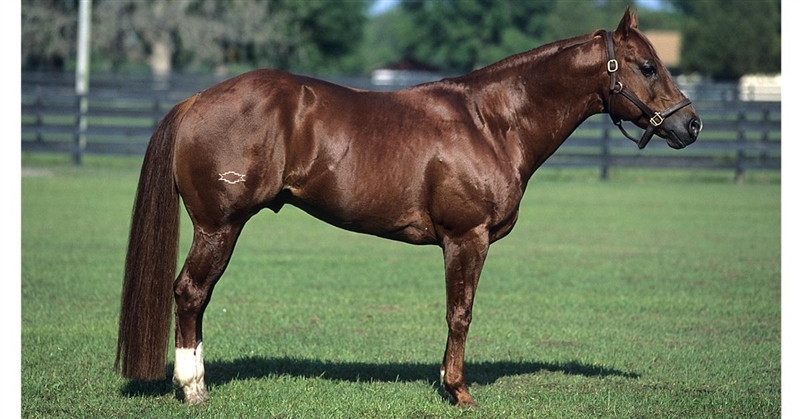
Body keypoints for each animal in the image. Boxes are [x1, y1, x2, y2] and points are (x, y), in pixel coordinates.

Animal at [114, 8, 700, 406]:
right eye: (647, 66)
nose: (690, 124)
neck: (490, 122)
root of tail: (195, 101)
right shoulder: (466, 238)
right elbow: (460, 313)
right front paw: (458, 390)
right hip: (219, 226)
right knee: (190, 293)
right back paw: (193, 389)